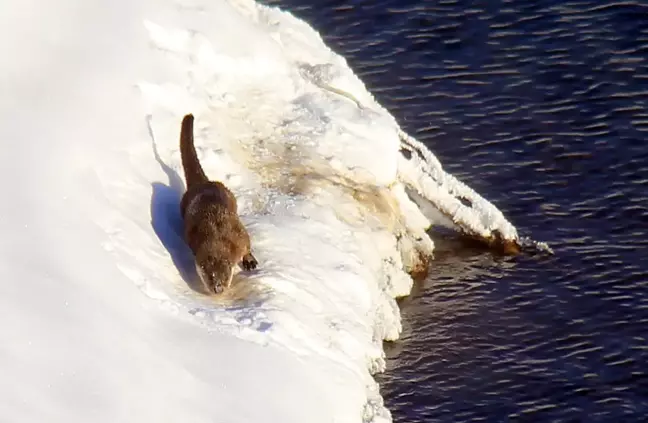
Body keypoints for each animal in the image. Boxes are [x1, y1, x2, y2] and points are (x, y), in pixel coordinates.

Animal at [180, 115, 258, 294]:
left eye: (225, 275)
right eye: (210, 277)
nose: (218, 288)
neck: (217, 234)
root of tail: (204, 183)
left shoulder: (239, 235)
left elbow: (247, 245)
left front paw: (250, 261)